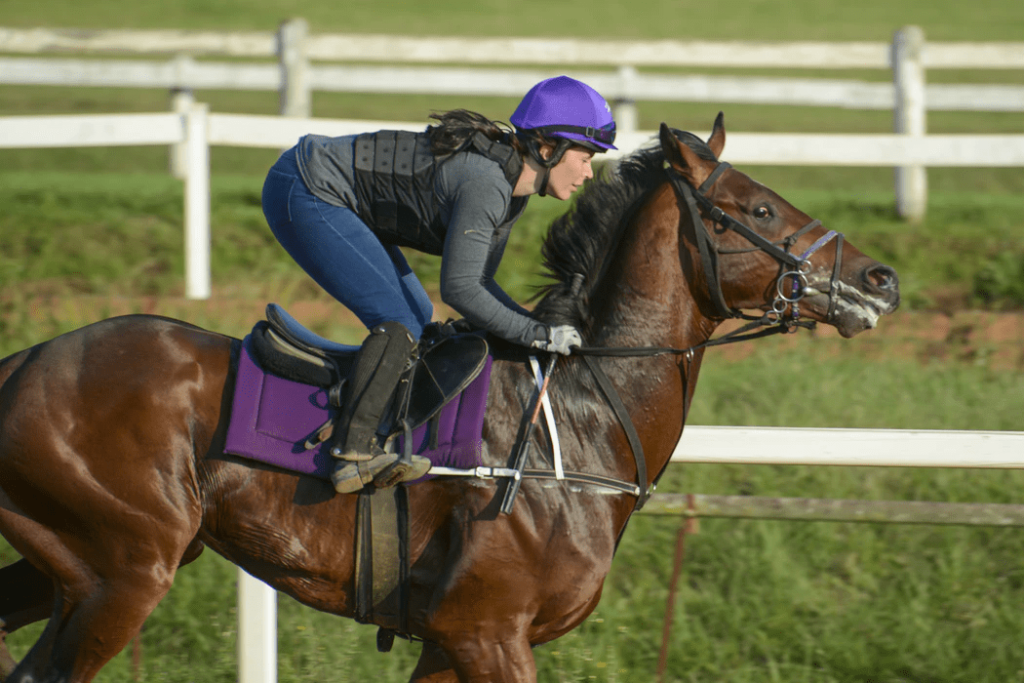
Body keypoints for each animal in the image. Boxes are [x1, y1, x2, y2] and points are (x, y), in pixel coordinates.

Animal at [0, 118, 897, 683]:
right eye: (759, 207)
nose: (879, 277)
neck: (580, 425)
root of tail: (25, 360)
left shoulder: (450, 641)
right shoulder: (487, 632)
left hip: (80, 559)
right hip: (125, 568)